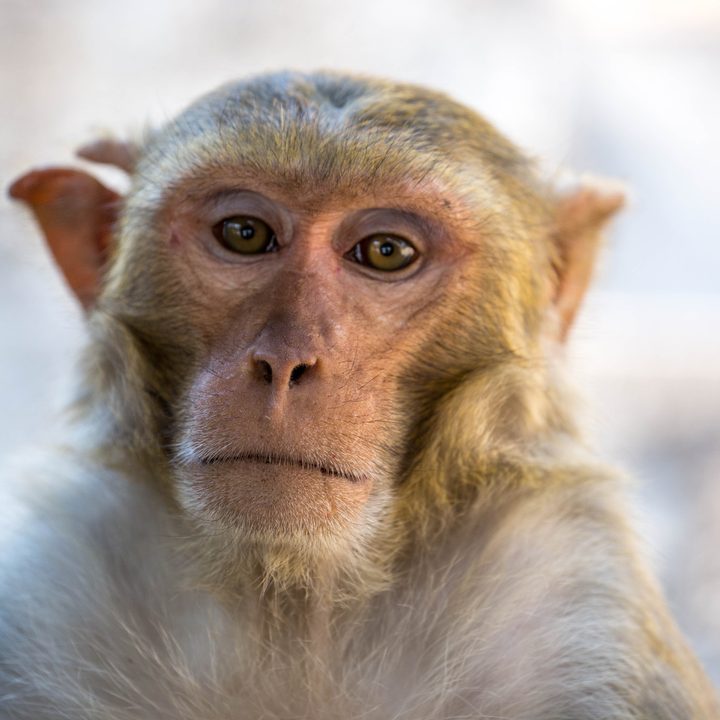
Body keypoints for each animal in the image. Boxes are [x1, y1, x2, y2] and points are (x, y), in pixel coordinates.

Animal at [1, 71, 718, 720]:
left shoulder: (577, 600)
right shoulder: (49, 585)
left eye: (385, 251)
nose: (284, 361)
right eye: (244, 234)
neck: (292, 606)